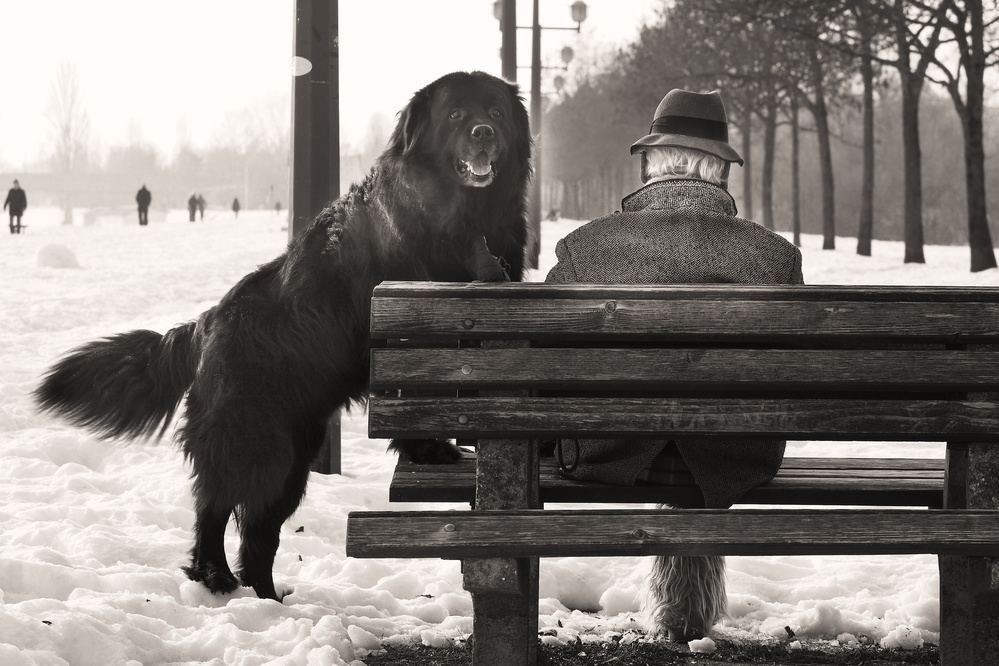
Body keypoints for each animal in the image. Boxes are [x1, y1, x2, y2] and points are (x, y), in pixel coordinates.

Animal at [33, 70, 532, 600]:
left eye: (496, 112)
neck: (464, 215)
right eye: (455, 114)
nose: (484, 132)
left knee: (257, 531)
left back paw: (266, 597)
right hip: (255, 442)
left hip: (293, 456)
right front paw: (432, 450)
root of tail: (206, 323)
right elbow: (415, 401)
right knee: (216, 507)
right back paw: (216, 578)